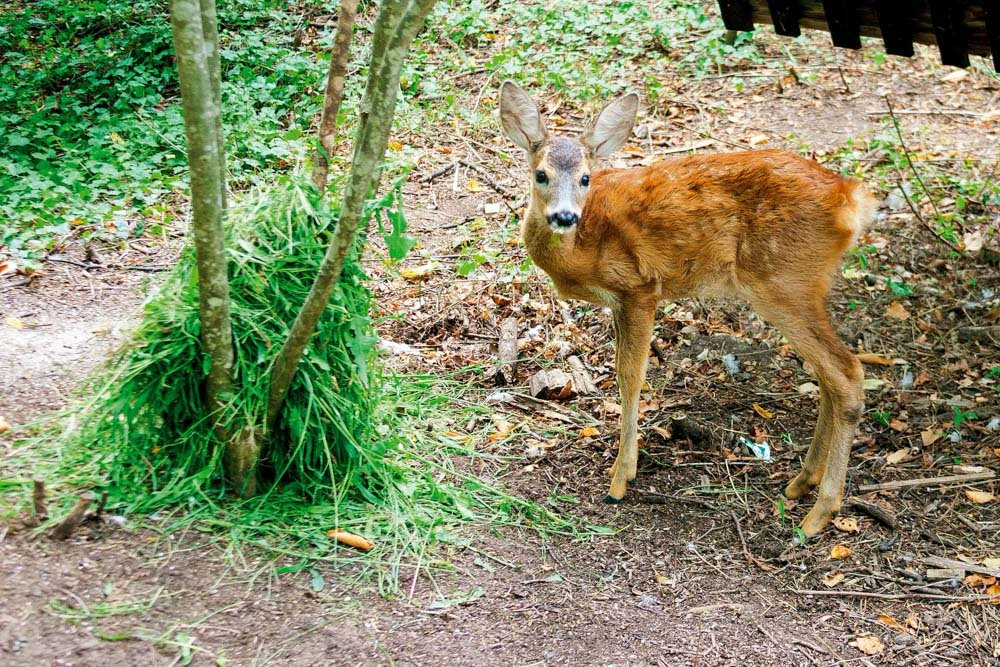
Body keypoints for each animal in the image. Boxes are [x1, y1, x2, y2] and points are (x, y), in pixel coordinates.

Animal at [498, 82, 876, 536]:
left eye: (585, 178)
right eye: (541, 175)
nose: (565, 216)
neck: (587, 244)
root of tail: (850, 200)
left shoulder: (640, 288)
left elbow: (630, 377)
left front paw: (620, 478)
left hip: (782, 281)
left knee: (846, 371)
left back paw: (819, 513)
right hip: (802, 284)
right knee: (827, 375)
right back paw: (800, 483)